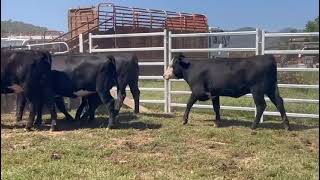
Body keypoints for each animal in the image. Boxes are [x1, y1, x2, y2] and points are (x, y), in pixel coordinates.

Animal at [164, 53, 292, 131]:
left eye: (172, 64)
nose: (164, 75)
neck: (192, 68)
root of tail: (268, 57)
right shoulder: (215, 93)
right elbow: (216, 107)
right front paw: (217, 122)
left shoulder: (197, 91)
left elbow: (189, 103)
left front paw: (184, 120)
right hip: (271, 89)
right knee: (279, 102)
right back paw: (287, 125)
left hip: (257, 90)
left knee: (261, 106)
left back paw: (253, 126)